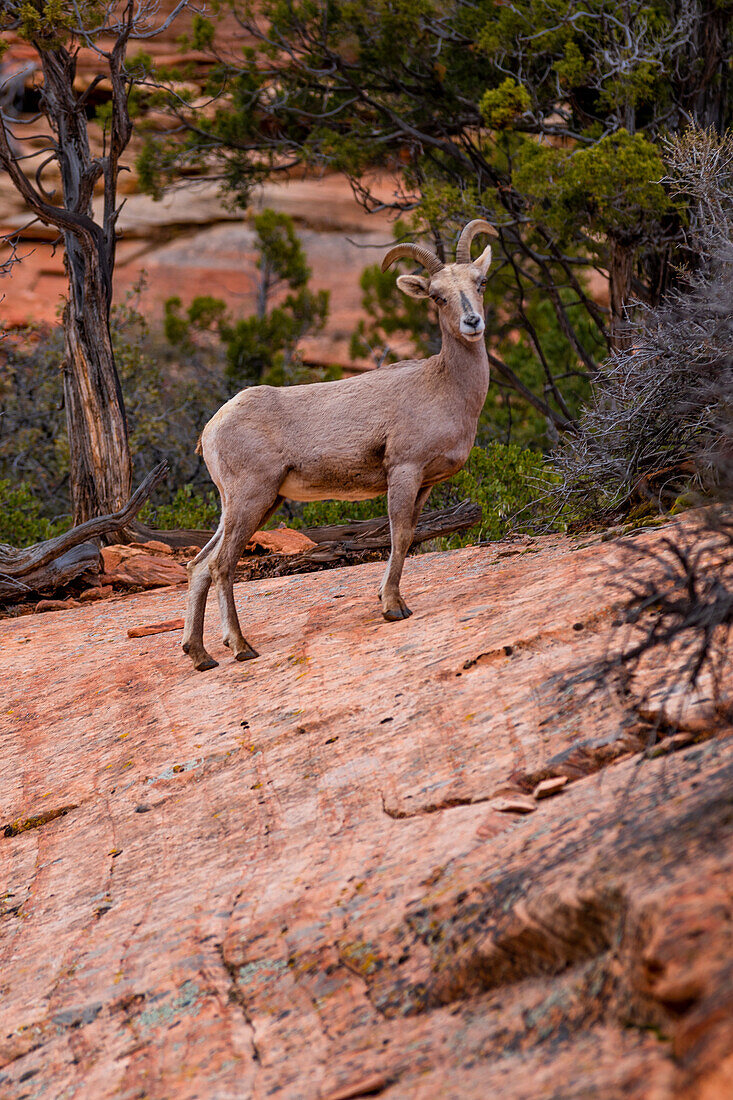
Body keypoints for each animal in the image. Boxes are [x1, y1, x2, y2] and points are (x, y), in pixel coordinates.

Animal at [181, 217, 490, 664]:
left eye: (480, 283)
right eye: (438, 296)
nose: (472, 323)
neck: (446, 388)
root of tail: (211, 429)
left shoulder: (425, 485)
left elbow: (408, 536)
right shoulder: (404, 471)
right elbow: (399, 536)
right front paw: (392, 608)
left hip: (250, 504)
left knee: (200, 565)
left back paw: (201, 656)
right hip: (252, 497)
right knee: (222, 565)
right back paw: (241, 647)